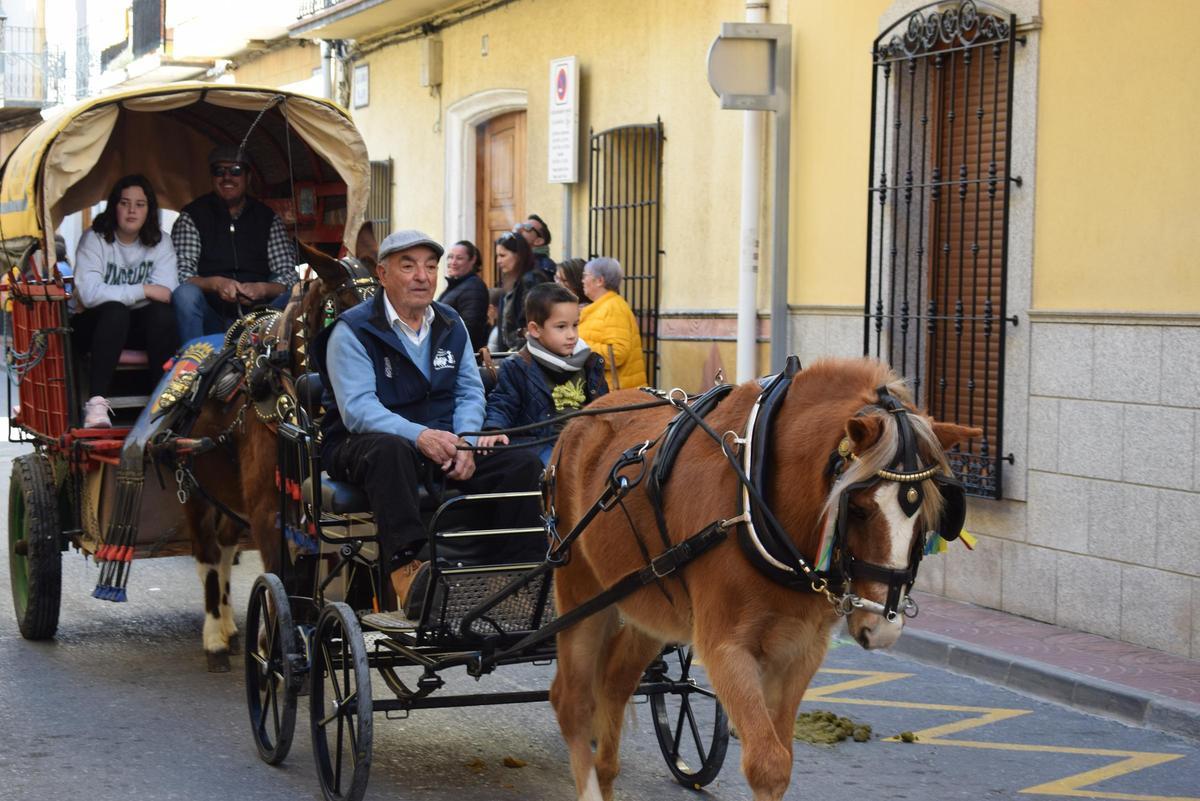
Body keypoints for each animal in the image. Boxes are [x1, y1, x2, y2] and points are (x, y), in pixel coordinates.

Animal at [175, 247, 374, 671]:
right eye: (345, 310)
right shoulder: (269, 512)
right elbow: (281, 576)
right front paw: (276, 648)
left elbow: (310, 576)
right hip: (194, 488)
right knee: (207, 555)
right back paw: (215, 637)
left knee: (225, 547)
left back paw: (231, 628)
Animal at [549, 357, 979, 801]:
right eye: (858, 508)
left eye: (928, 513)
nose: (883, 627)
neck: (757, 502)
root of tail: (579, 421)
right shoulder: (726, 648)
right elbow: (765, 763)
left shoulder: (800, 651)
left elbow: (781, 760)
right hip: (581, 592)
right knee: (572, 702)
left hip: (649, 605)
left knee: (614, 685)